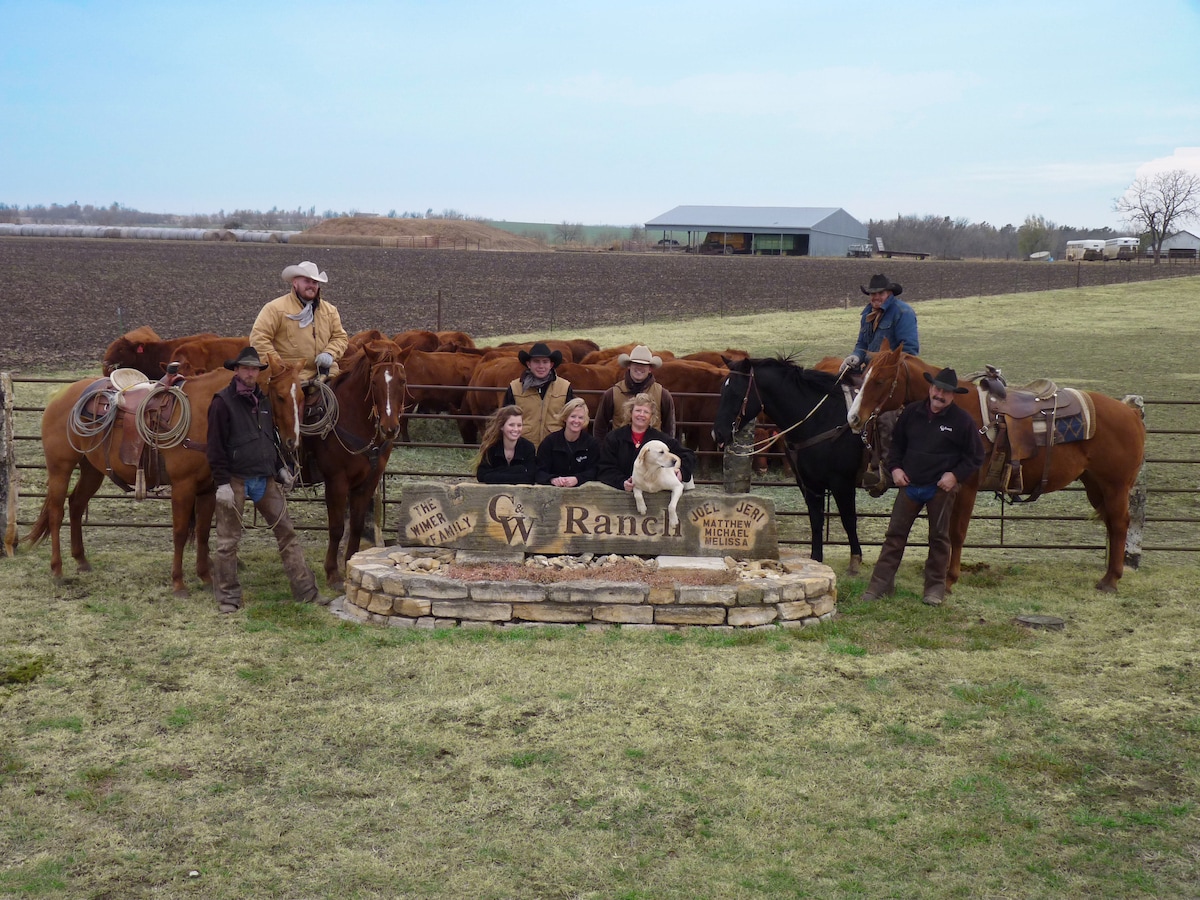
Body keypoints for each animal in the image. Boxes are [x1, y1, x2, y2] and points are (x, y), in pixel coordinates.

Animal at [29, 360, 304, 600]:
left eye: (302, 396)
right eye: (280, 396)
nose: (292, 441)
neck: (203, 412)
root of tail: (61, 395)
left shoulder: (208, 488)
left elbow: (203, 531)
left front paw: (205, 577)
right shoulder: (183, 486)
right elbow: (180, 532)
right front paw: (178, 584)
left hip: (92, 469)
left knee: (76, 504)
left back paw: (82, 561)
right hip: (60, 467)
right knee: (56, 513)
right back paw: (57, 570)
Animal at [304, 336, 408, 588]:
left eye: (402, 381)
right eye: (375, 382)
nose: (390, 428)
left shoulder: (368, 480)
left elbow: (357, 525)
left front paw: (350, 562)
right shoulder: (336, 481)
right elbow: (336, 527)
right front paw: (332, 573)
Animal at [705, 355, 868, 573]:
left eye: (735, 393)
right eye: (723, 390)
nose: (718, 434)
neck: (822, 418)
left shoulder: (842, 482)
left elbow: (848, 519)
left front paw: (855, 562)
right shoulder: (809, 484)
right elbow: (816, 519)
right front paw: (816, 560)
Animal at [844, 348, 1142, 595]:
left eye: (880, 380)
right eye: (864, 376)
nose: (853, 418)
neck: (959, 411)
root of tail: (1129, 412)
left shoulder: (966, 486)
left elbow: (957, 532)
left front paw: (949, 580)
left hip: (1115, 486)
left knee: (1119, 524)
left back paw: (1110, 580)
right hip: (1095, 485)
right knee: (1112, 523)